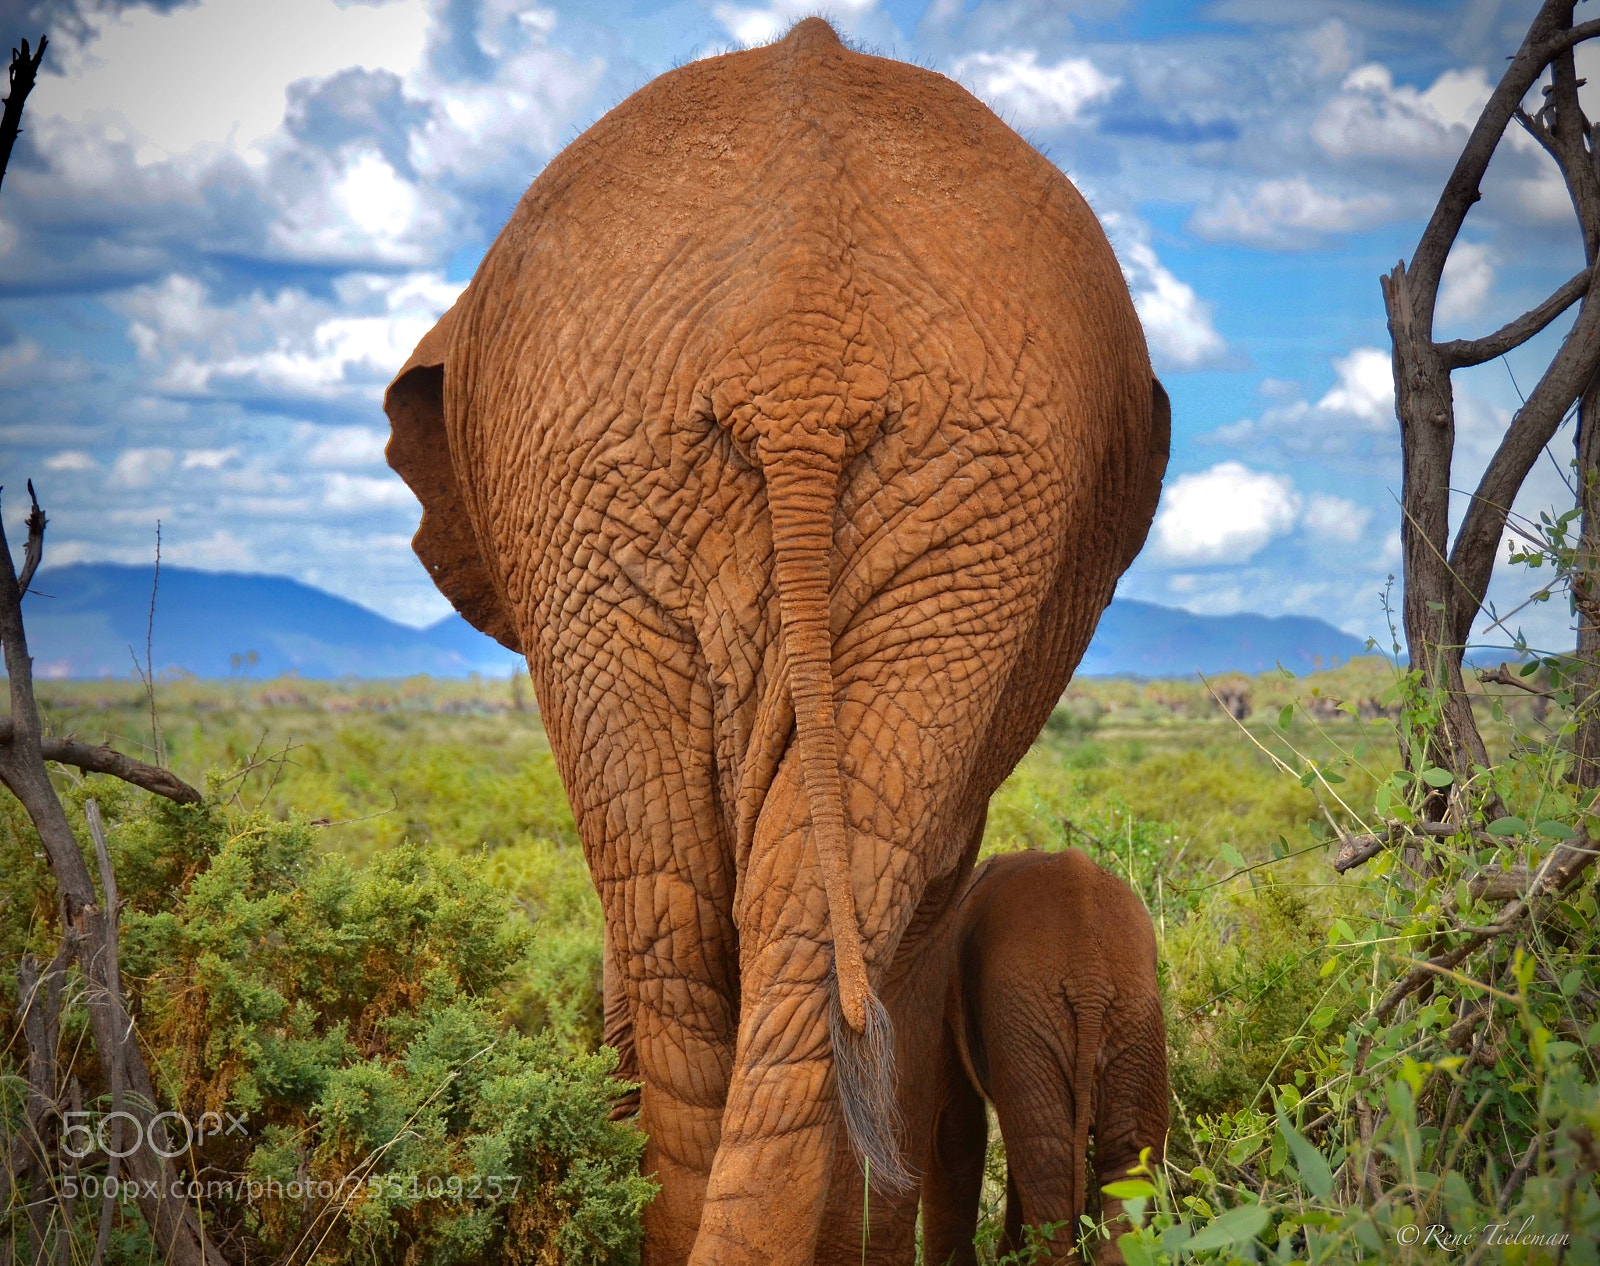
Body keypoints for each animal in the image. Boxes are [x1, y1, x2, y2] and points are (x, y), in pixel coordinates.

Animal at [928, 851, 1164, 1266]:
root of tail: (1089, 973)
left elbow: (951, 1129)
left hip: (1030, 1009)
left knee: (1045, 1159)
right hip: (1134, 1012)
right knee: (1126, 1157)